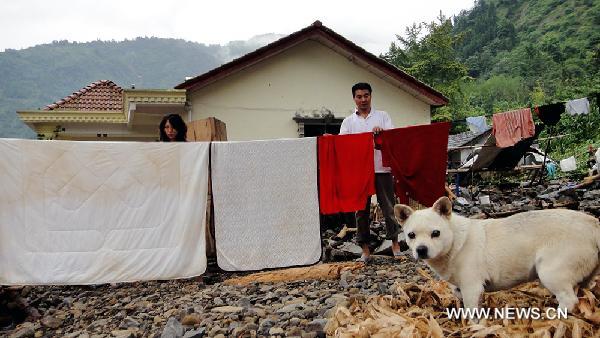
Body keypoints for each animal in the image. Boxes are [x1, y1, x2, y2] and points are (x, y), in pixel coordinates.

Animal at [394, 197, 600, 312]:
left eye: (435, 233)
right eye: (411, 235)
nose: (421, 249)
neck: (455, 242)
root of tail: (592, 223)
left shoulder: (472, 288)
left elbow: (471, 313)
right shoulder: (461, 289)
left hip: (550, 273)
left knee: (569, 300)